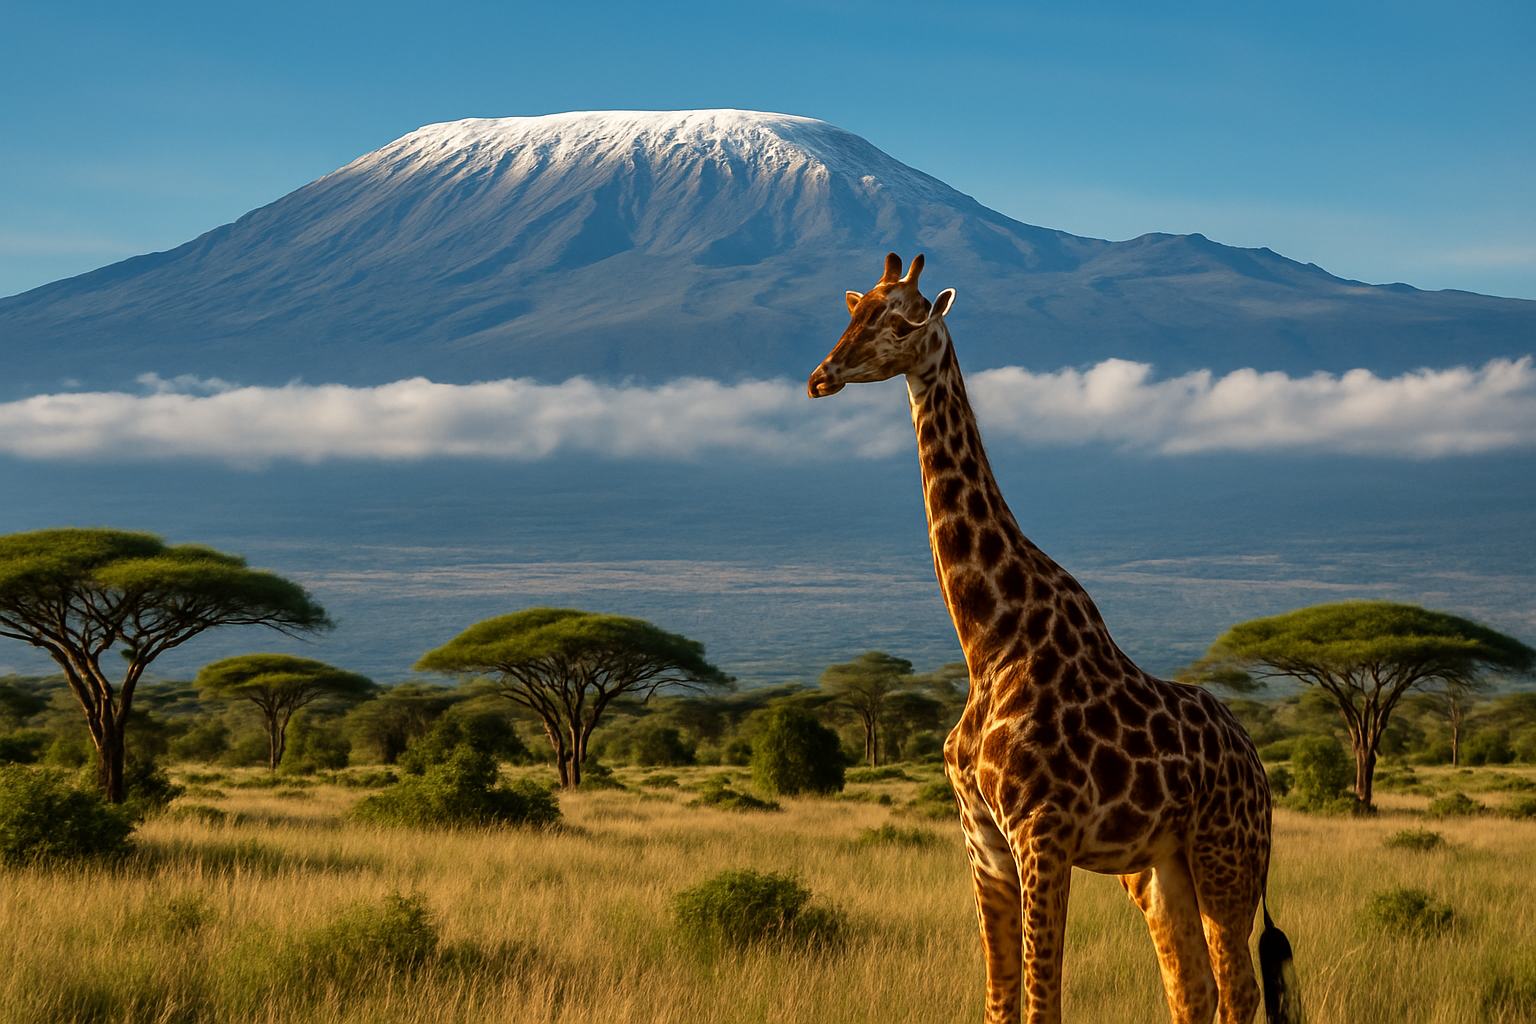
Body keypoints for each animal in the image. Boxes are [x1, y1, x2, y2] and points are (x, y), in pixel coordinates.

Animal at [807, 253, 1301, 1024]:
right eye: (853, 310)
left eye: (904, 321)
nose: (821, 376)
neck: (987, 640)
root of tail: (1255, 761)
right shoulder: (984, 843)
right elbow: (1002, 1002)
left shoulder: (1043, 834)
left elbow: (1044, 1003)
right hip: (1160, 867)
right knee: (1190, 989)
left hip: (1228, 856)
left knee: (1238, 988)